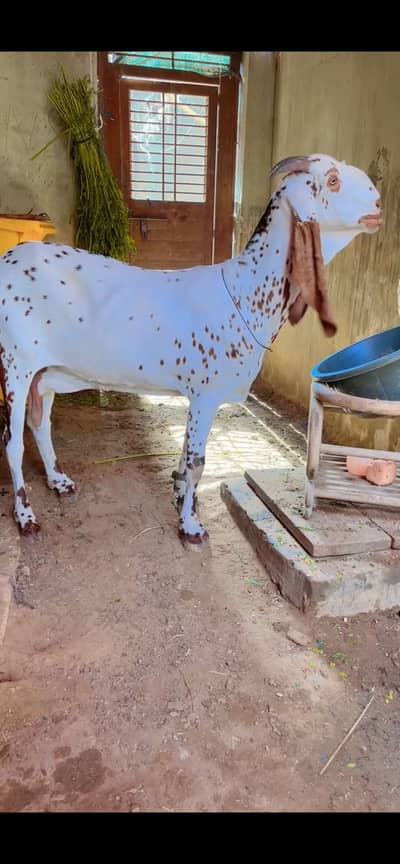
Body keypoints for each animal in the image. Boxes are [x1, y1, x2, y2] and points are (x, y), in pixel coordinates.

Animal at [0, 154, 382, 541]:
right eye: (332, 180)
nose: (379, 205)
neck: (244, 294)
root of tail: (9, 258)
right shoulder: (206, 394)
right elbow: (198, 462)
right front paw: (191, 524)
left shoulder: (197, 397)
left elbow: (185, 459)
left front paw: (181, 496)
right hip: (16, 363)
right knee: (13, 441)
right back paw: (25, 515)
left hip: (45, 372)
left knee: (39, 423)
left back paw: (58, 481)